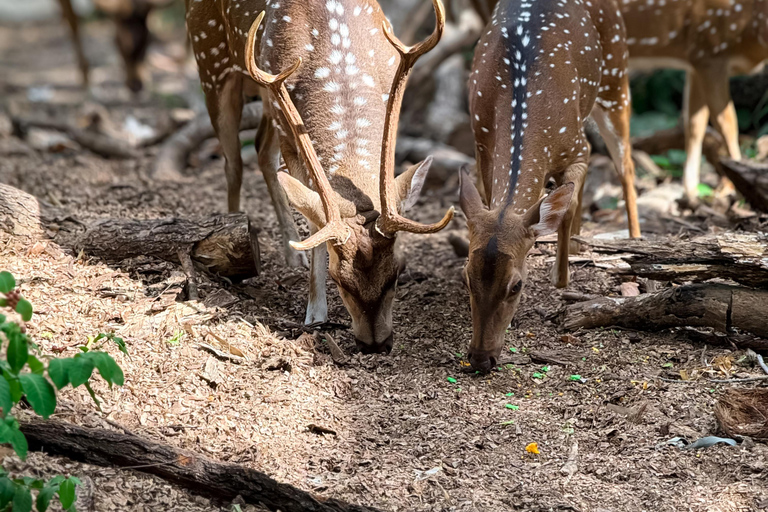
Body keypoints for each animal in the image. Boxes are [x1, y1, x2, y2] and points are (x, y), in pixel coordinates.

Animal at [186, 0, 454, 352]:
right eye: (340, 279)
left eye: (398, 272)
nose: (375, 343)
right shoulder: (285, 120)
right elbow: (316, 219)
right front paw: (315, 315)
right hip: (210, 59)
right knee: (233, 161)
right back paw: (235, 240)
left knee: (260, 149)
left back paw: (291, 255)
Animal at [459, 0, 640, 372]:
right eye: (466, 277)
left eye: (517, 285)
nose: (481, 358)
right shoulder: (481, 143)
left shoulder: (579, 146)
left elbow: (565, 206)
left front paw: (561, 279)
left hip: (616, 76)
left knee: (626, 165)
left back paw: (634, 238)